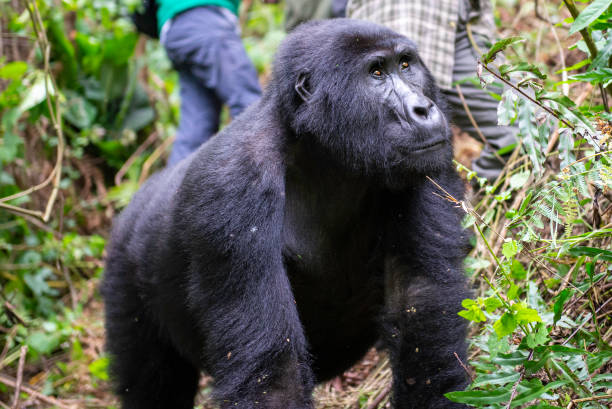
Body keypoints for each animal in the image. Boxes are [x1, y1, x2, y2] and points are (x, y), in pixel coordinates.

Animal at [103, 17, 470, 406]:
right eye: (376, 73)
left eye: (405, 65)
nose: (423, 109)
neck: (322, 151)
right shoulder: (232, 187)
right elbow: (274, 372)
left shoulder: (429, 161)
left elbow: (422, 310)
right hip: (122, 273)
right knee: (154, 384)